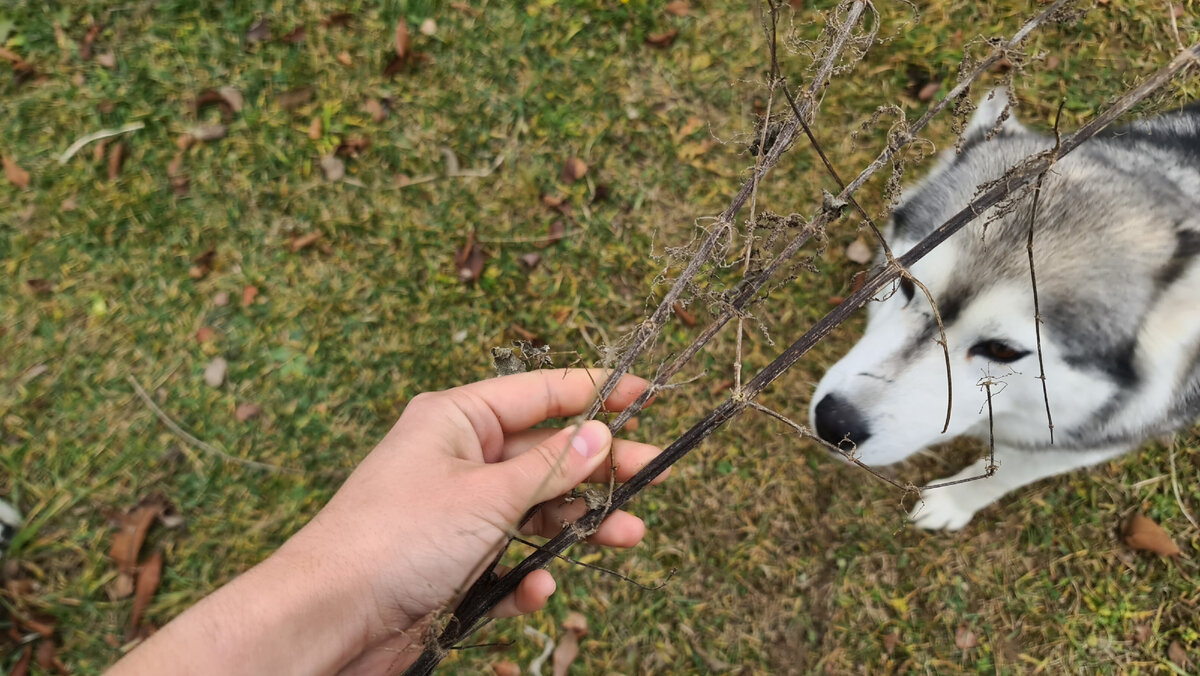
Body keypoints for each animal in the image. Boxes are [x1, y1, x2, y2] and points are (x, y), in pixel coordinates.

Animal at [811, 92, 1195, 530]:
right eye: (906, 286)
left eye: (1003, 351)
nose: (834, 424)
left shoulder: (1095, 437)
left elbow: (1008, 472)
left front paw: (953, 502)